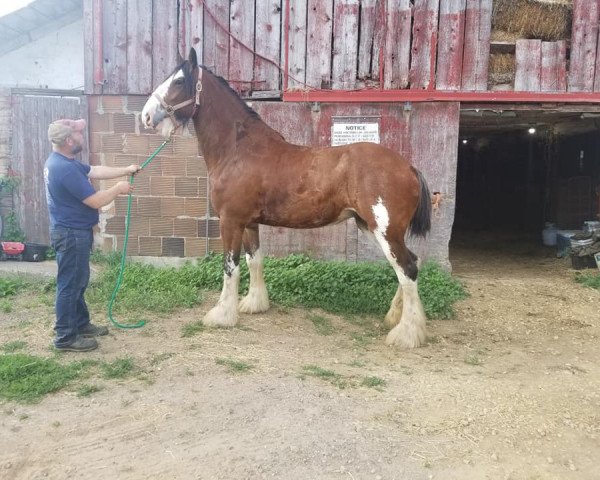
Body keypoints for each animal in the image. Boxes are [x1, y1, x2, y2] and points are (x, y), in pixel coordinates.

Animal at [141, 48, 432, 348]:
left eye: (178, 81)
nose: (146, 116)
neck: (238, 150)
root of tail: (408, 167)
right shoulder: (249, 223)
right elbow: (254, 260)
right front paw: (254, 303)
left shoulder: (230, 221)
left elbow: (230, 266)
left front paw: (221, 315)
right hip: (375, 228)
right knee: (410, 264)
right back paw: (396, 319)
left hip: (385, 231)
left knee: (407, 269)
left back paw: (406, 334)